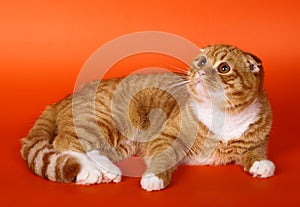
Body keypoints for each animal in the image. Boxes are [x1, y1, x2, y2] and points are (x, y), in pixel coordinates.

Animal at [20, 44, 274, 192]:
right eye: (202, 62)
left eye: (223, 68)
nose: (201, 72)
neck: (224, 115)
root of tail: (66, 97)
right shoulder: (167, 136)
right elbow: (163, 157)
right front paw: (154, 177)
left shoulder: (256, 140)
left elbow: (255, 153)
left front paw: (261, 165)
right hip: (101, 120)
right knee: (65, 142)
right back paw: (89, 172)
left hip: (119, 143)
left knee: (92, 149)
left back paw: (105, 171)